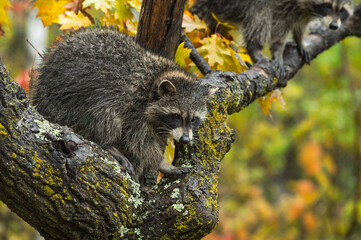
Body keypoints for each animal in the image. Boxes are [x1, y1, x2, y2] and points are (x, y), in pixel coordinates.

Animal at [31, 27, 212, 182]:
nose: (185, 140)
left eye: (194, 119)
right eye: (176, 116)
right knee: (103, 114)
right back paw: (109, 144)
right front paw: (161, 162)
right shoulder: (135, 105)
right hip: (71, 98)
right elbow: (138, 141)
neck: (155, 80)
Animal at [190, 0, 352, 71]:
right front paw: (278, 50)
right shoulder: (283, 5)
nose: (334, 26)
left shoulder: (302, 11)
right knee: (260, 16)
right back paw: (254, 48)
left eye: (342, 10)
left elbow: (300, 24)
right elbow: (279, 28)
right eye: (328, 5)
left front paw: (299, 40)